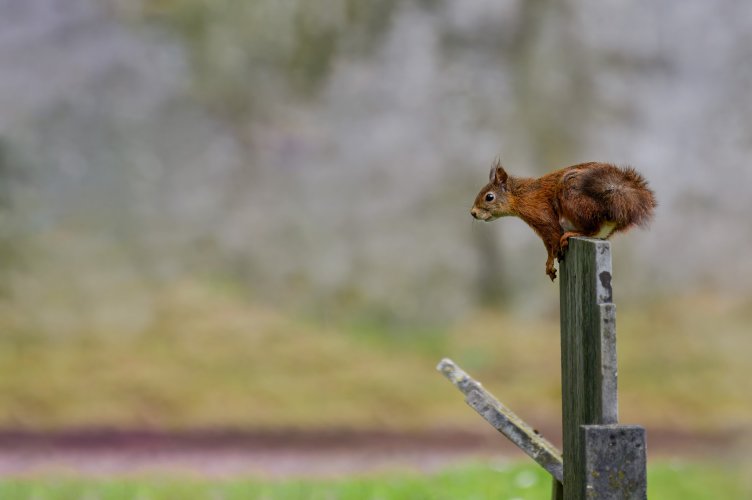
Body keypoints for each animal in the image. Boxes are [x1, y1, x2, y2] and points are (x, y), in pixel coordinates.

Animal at [472, 161, 656, 282]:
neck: (522, 195)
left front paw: (549, 264)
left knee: (591, 229)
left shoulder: (544, 218)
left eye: (489, 197)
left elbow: (551, 244)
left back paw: (572, 234)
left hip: (575, 201)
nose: (472, 213)